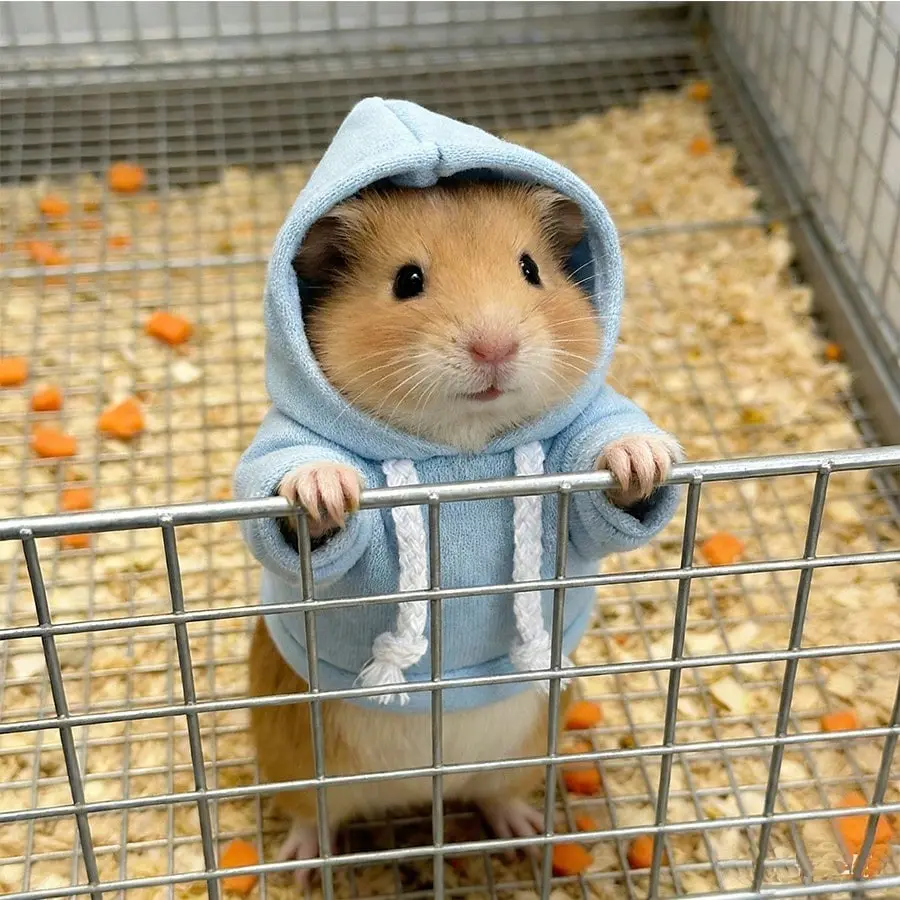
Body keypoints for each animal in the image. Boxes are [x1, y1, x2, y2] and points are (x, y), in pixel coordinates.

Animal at [250, 182, 680, 879]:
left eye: (530, 269)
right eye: (408, 280)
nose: (494, 348)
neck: (463, 449)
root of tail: (420, 792)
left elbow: (610, 484)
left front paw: (643, 458)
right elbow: (304, 489)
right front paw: (323, 489)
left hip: (526, 750)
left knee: (497, 795)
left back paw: (528, 835)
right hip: (294, 760)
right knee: (312, 816)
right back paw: (301, 866)